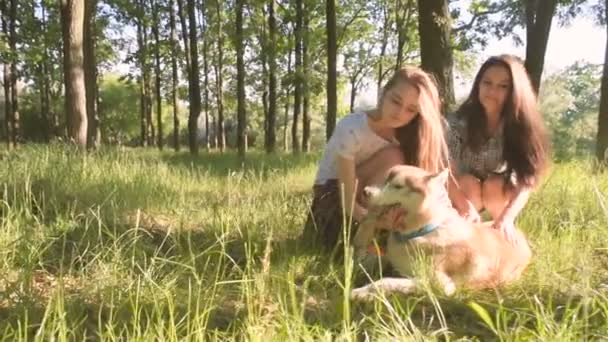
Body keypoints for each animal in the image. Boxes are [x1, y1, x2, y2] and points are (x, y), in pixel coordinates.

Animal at [352, 164, 532, 300]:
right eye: (384, 179)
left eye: (397, 186)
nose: (365, 191)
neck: (420, 231)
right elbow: (373, 259)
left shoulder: (442, 285)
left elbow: (386, 281)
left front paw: (361, 292)